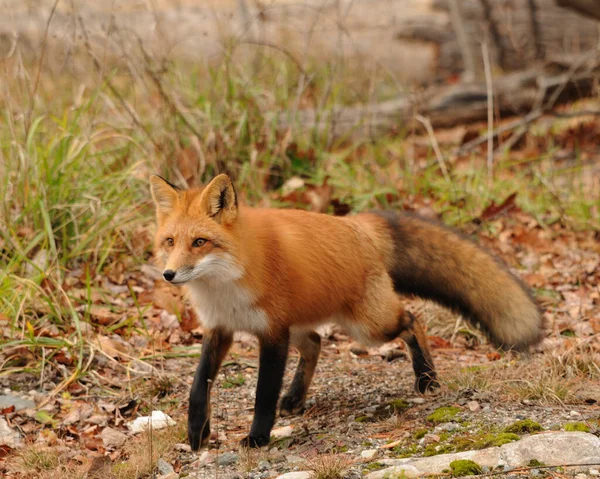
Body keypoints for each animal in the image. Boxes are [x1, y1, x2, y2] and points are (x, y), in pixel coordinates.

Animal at [150, 174, 544, 452]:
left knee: (412, 320)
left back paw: (426, 378)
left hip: (367, 327)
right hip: (307, 324)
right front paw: (197, 432)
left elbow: (263, 394)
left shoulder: (272, 333)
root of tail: (357, 224)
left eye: (199, 242)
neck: (225, 286)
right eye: (170, 242)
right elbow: (198, 387)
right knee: (315, 342)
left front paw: (258, 438)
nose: (169, 274)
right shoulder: (220, 328)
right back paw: (294, 398)